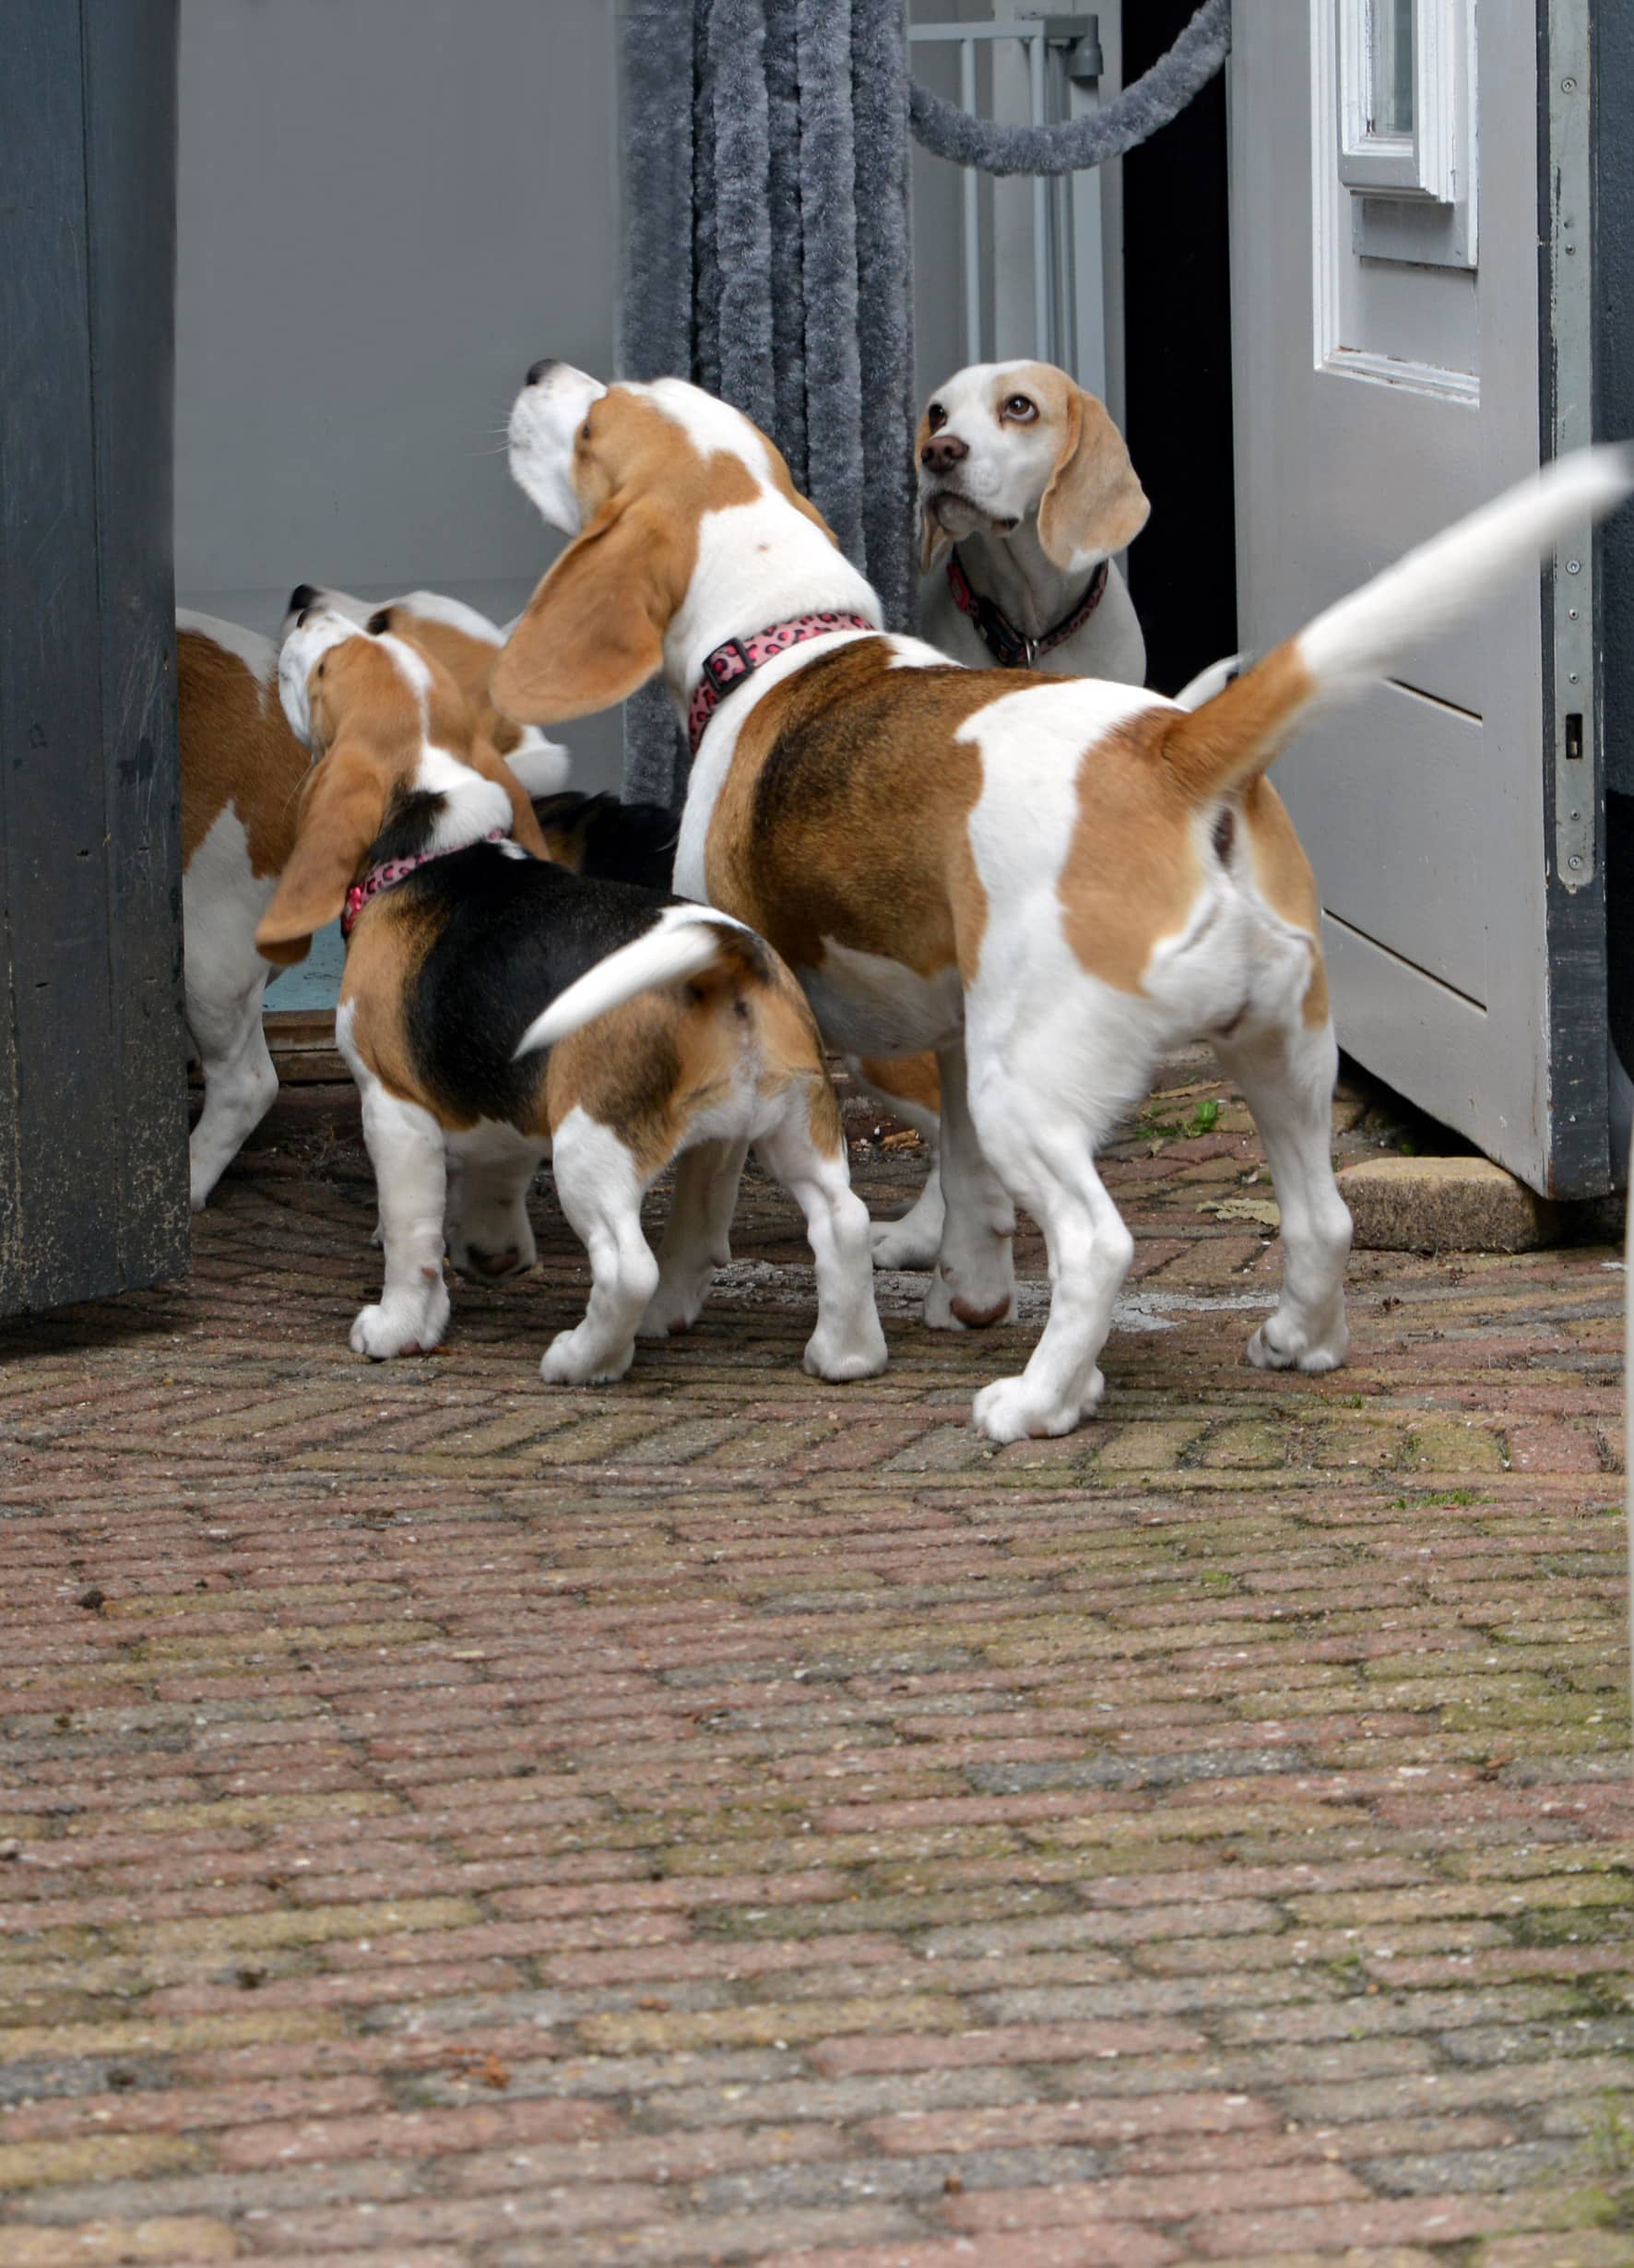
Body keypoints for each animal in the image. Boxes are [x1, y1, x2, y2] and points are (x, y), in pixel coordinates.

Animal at [259, 603, 883, 1387]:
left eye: (326, 666)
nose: (301, 602)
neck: (431, 846)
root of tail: (723, 957)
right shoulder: (501, 1094)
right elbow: (494, 1173)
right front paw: (488, 1251)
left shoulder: (392, 1106)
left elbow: (411, 1235)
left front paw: (399, 1326)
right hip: (788, 1122)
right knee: (840, 1221)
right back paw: (845, 1354)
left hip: (593, 1143)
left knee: (627, 1264)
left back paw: (583, 1357)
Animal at [496, 362, 1631, 1442]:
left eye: (595, 422)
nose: (539, 369)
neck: (782, 640)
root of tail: (1169, 746)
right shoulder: (957, 1033)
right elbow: (967, 1191)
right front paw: (969, 1294)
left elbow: (700, 1199)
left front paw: (667, 1310)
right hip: (1285, 1056)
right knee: (1321, 1219)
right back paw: (1294, 1342)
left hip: (1032, 1088)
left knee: (1097, 1243)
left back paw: (1037, 1402)